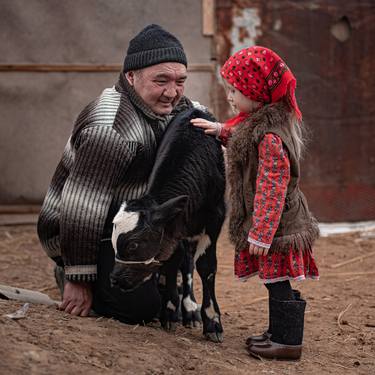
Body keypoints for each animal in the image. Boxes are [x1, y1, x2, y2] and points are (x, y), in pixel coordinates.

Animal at [110, 108, 225, 344]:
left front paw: (212, 321)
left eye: (134, 244)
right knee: (185, 261)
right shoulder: (174, 227)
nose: (115, 280)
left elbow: (206, 266)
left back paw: (191, 309)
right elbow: (173, 261)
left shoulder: (215, 219)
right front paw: (170, 310)